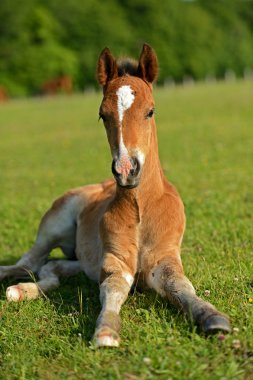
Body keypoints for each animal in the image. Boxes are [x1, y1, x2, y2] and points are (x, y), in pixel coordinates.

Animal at [0, 44, 229, 348]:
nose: (126, 170)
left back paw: (25, 290)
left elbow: (181, 285)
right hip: (53, 224)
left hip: (80, 260)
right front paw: (106, 331)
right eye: (103, 115)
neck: (142, 210)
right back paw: (13, 284)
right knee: (30, 262)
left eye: (150, 111)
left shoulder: (165, 256)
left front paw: (213, 317)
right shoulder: (115, 260)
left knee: (52, 267)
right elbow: (114, 288)